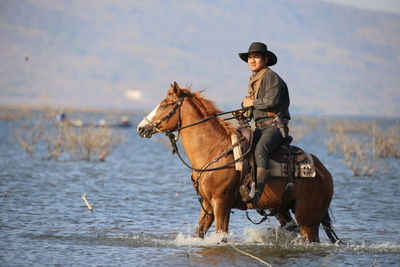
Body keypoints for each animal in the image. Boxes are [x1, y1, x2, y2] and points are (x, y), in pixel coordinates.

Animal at [137, 82, 338, 244]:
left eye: (165, 104)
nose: (141, 127)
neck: (213, 151)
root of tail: (324, 172)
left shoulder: (221, 205)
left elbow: (221, 235)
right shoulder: (208, 206)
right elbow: (199, 232)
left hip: (308, 219)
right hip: (282, 210)